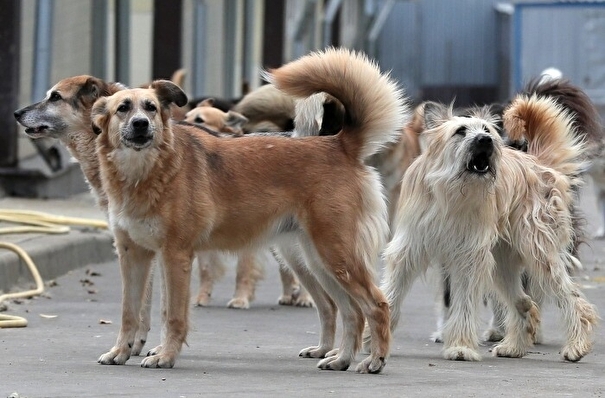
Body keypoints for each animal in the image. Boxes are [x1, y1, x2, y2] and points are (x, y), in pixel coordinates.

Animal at [92, 48, 408, 374]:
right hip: (317, 261)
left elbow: (173, 314)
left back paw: (375, 360)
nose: (141, 124)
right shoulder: (135, 256)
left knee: (376, 304)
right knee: (350, 311)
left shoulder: (175, 256)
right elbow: (130, 312)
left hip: (337, 256)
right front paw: (121, 351)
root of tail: (340, 144)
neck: (147, 171)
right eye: (123, 108)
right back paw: (341, 358)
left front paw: (165, 356)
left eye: (151, 108)